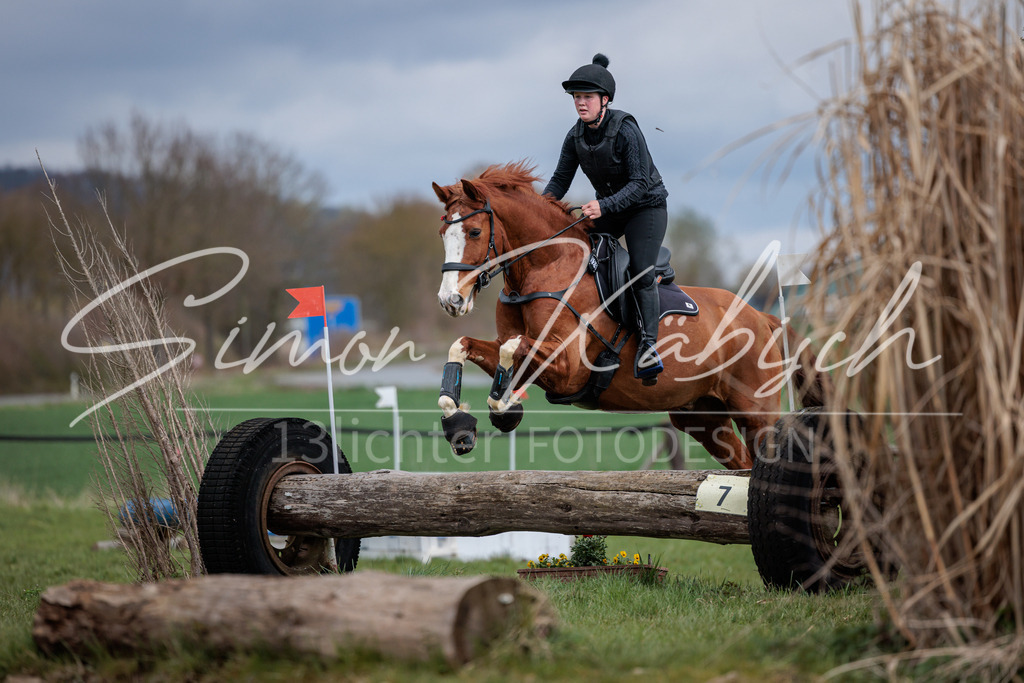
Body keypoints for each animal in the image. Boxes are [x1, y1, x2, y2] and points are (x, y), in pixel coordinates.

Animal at [432, 161, 825, 470]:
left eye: (475, 232)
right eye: (442, 233)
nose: (450, 300)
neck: (545, 268)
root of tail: (762, 318)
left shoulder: (568, 367)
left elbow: (510, 348)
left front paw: (503, 409)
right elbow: (464, 346)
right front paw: (458, 423)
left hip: (755, 413)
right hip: (703, 418)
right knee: (741, 466)